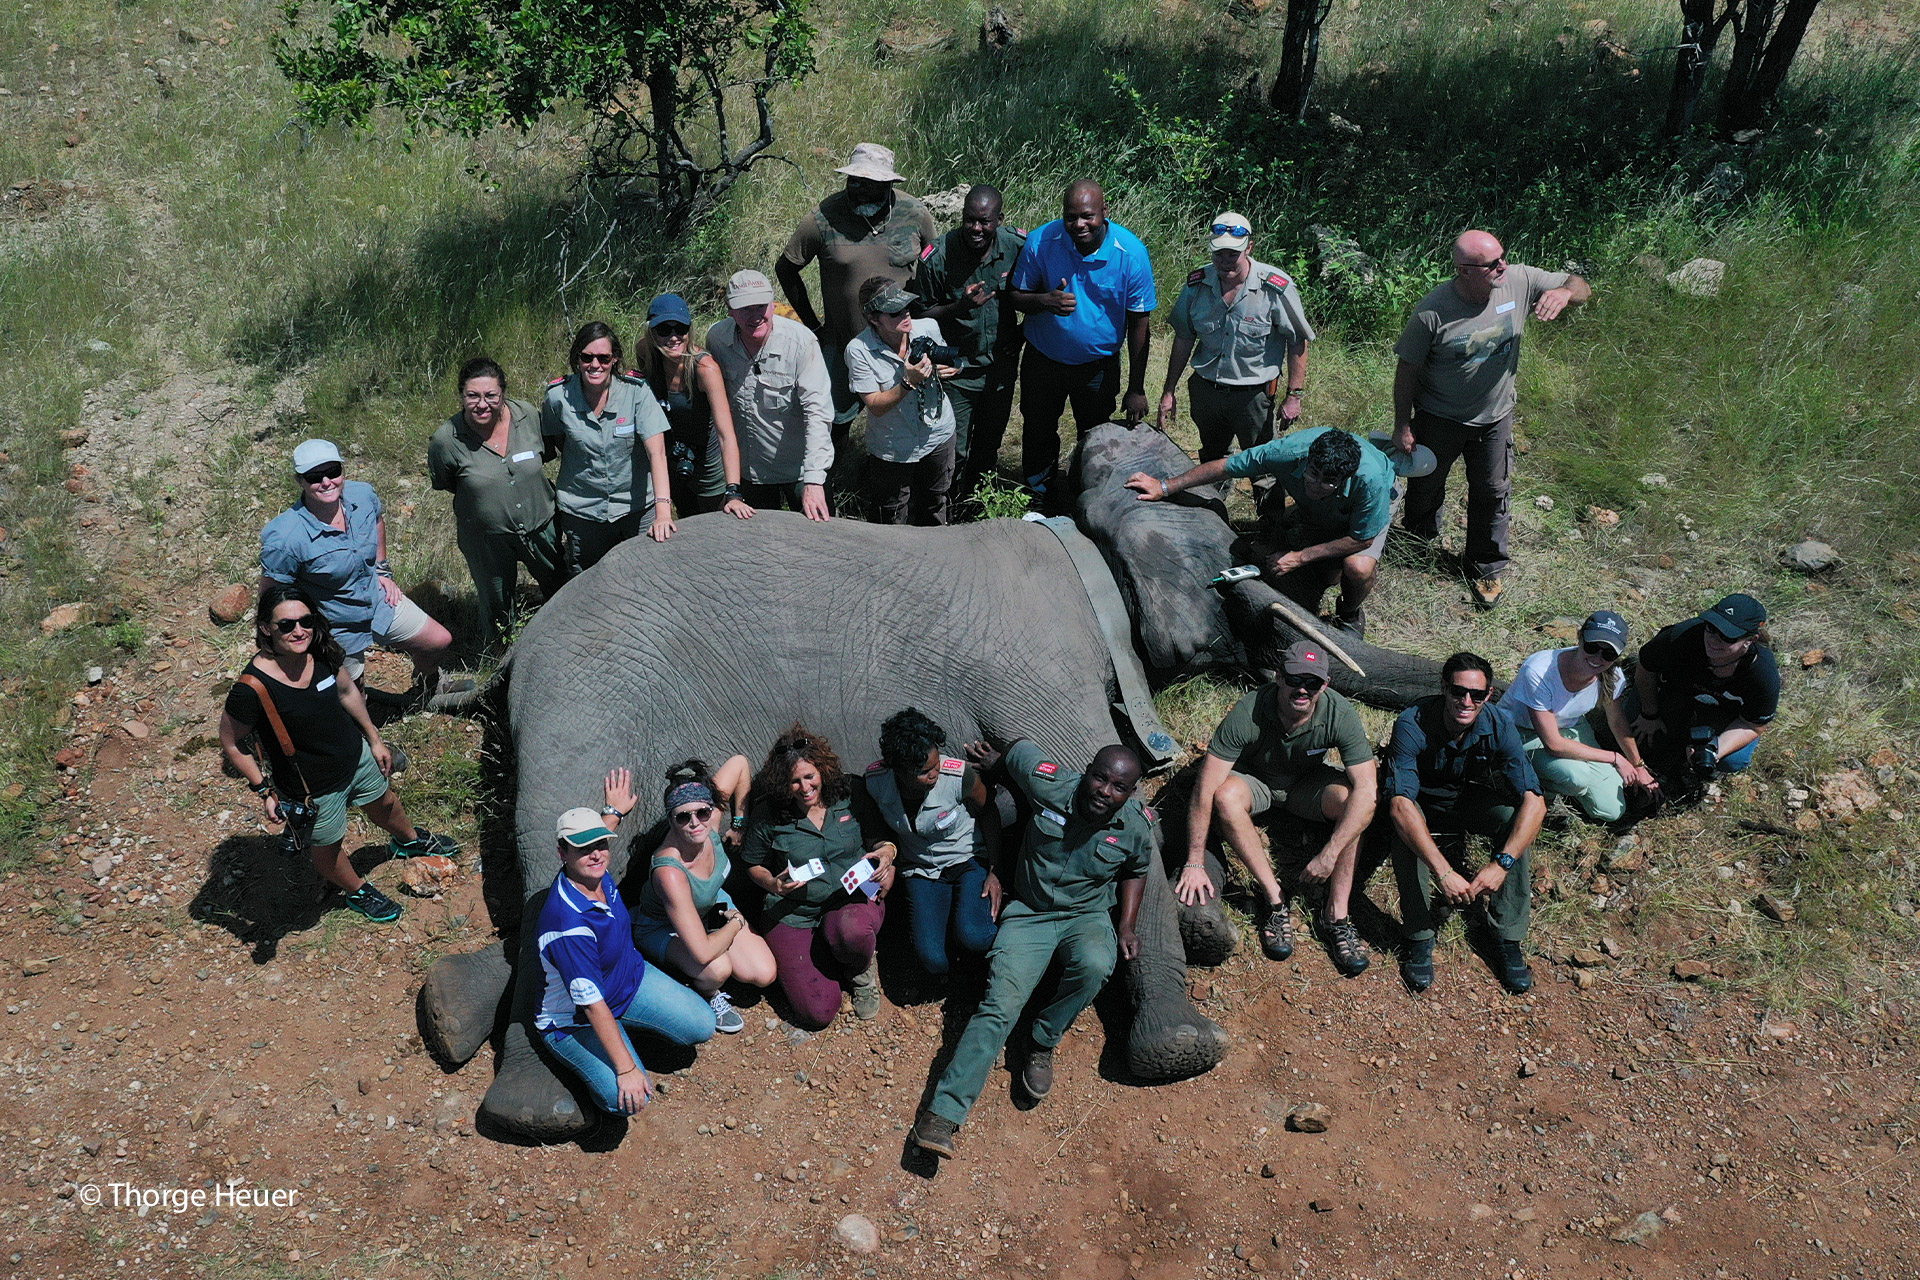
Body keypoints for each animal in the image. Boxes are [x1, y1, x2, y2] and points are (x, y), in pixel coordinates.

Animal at [424, 514, 1228, 1143]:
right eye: (1226, 573)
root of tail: (526, 637)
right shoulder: (1041, 663)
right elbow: (1119, 813)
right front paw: (1183, 1050)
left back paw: (450, 1009)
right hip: (587, 696)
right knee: (558, 873)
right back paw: (536, 1112)